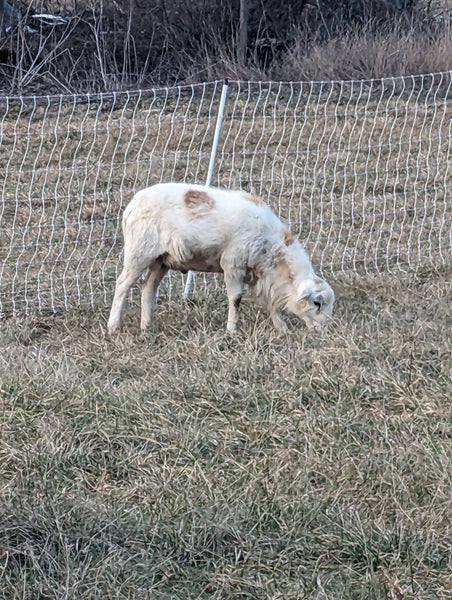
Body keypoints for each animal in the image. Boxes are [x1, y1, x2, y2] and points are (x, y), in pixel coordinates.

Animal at [105, 183, 332, 332]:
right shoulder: (233, 263)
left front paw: (281, 327)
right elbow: (236, 299)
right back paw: (113, 326)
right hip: (140, 251)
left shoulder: (257, 273)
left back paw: (146, 326)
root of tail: (132, 204)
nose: (325, 329)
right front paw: (232, 330)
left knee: (148, 290)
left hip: (161, 260)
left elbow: (268, 301)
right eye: (317, 303)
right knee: (122, 284)